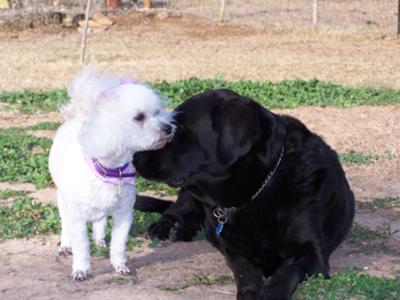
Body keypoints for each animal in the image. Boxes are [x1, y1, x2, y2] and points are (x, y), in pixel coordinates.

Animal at [48, 68, 173, 282]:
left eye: (157, 113)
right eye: (139, 117)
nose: (169, 128)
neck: (111, 172)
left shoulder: (124, 214)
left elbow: (118, 245)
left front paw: (120, 266)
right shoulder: (77, 218)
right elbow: (81, 248)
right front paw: (80, 270)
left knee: (100, 221)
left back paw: (99, 240)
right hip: (63, 199)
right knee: (65, 223)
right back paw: (65, 245)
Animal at [133, 89, 354, 300]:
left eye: (178, 129)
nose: (135, 156)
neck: (259, 190)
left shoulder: (312, 254)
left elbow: (287, 271)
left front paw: (273, 292)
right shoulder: (234, 251)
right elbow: (245, 272)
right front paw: (250, 292)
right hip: (188, 193)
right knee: (176, 210)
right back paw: (167, 227)